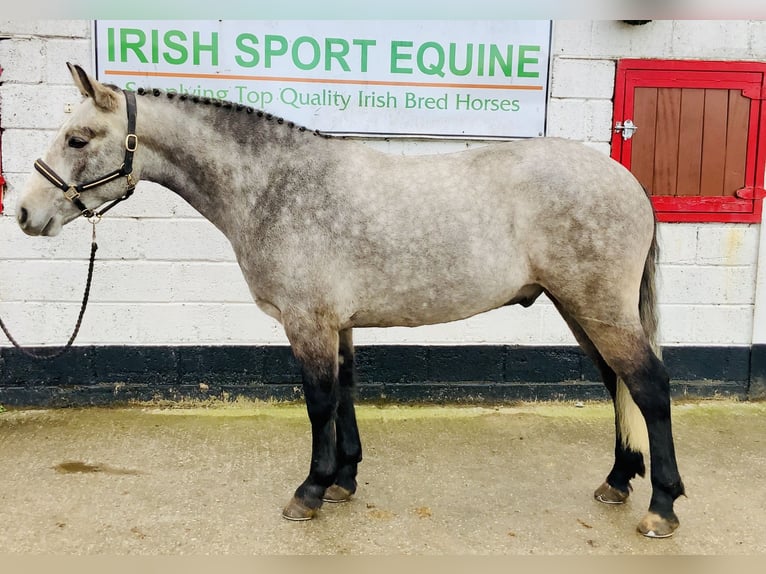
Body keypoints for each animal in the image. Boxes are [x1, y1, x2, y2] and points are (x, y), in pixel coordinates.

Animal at [16, 63, 685, 538]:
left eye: (78, 138)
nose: (24, 213)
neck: (277, 187)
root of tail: (628, 182)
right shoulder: (337, 324)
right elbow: (345, 394)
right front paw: (343, 481)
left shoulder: (306, 322)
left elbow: (318, 403)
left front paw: (309, 492)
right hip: (580, 310)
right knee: (617, 383)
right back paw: (618, 481)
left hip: (598, 307)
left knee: (648, 386)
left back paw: (662, 506)